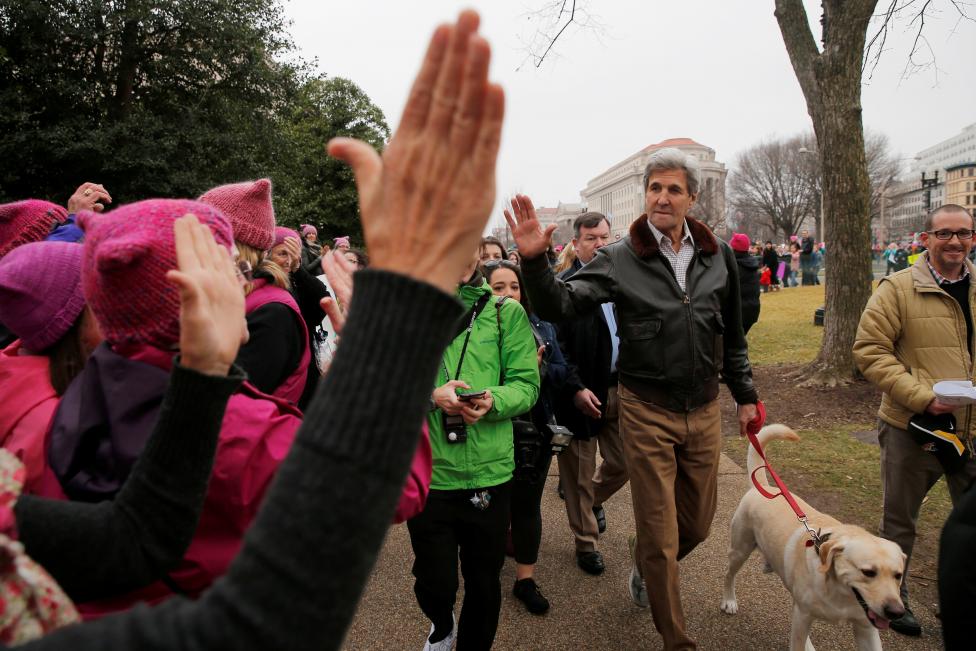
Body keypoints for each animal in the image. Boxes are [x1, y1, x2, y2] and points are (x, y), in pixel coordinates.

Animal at [716, 426, 908, 648]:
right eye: (868, 572)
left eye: (898, 575)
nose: (896, 612)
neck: (840, 593)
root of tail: (763, 487)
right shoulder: (803, 616)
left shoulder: (866, 627)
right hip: (740, 549)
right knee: (729, 575)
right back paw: (729, 600)